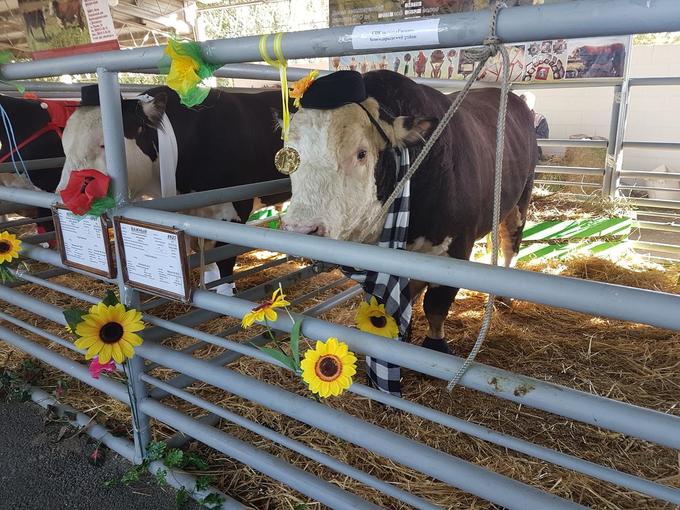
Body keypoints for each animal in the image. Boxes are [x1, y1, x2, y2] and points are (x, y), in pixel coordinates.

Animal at [58, 86, 290, 294]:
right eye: (65, 145)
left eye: (103, 145)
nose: (63, 194)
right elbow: (209, 263)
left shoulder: (234, 210)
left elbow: (224, 262)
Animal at [282, 69, 536, 352]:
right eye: (289, 156)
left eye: (361, 153)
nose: (301, 229)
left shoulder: (457, 249)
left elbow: (435, 306)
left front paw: (435, 342)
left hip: (521, 199)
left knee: (510, 243)